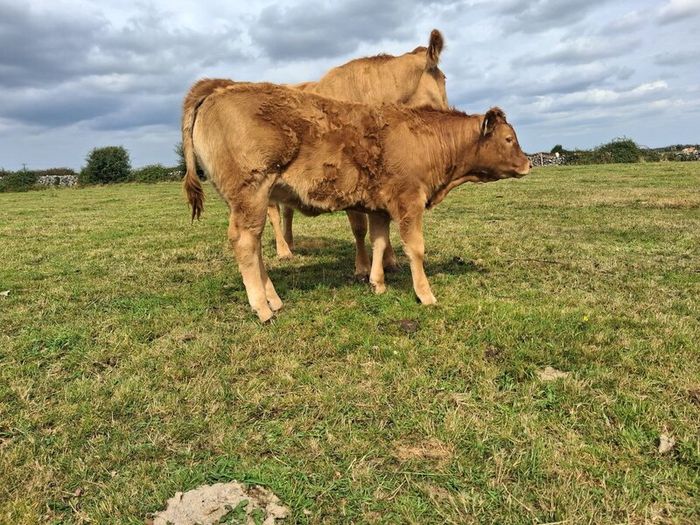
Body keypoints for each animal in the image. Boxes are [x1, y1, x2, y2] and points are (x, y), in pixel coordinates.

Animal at [181, 30, 448, 278]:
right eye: (444, 77)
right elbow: (360, 226)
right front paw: (362, 267)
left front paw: (389, 261)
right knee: (271, 216)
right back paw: (283, 250)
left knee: (286, 212)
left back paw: (290, 243)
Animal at [183, 82, 530, 321]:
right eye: (509, 139)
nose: (528, 163)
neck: (424, 139)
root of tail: (218, 90)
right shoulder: (409, 200)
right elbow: (415, 248)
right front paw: (425, 295)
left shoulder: (379, 206)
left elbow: (379, 242)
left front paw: (377, 283)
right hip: (251, 192)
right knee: (245, 243)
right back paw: (262, 308)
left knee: (254, 245)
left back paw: (273, 300)